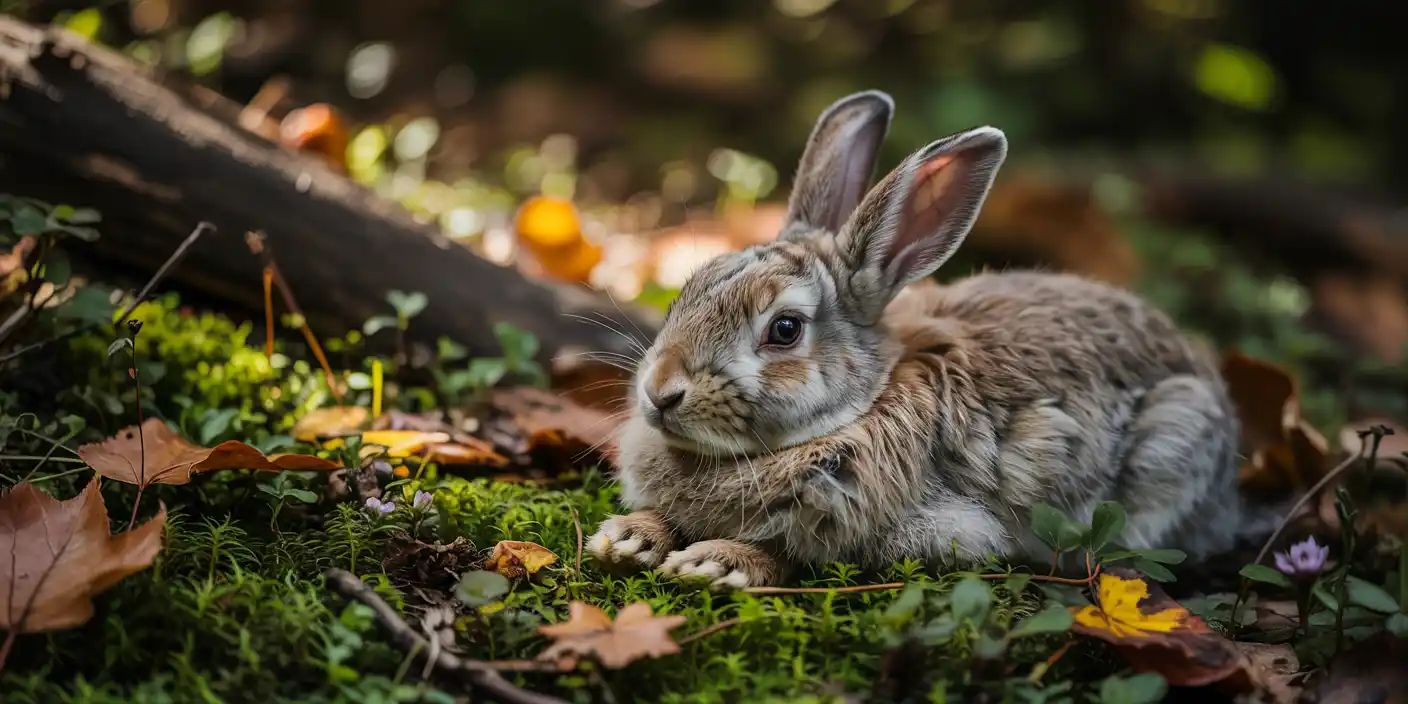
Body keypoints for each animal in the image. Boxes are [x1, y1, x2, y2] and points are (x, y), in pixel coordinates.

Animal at [586, 90, 1266, 590]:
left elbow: (803, 557)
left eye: (784, 330)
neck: (859, 408)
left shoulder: (930, 530)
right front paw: (629, 536)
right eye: (688, 290)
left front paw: (717, 561)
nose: (660, 393)